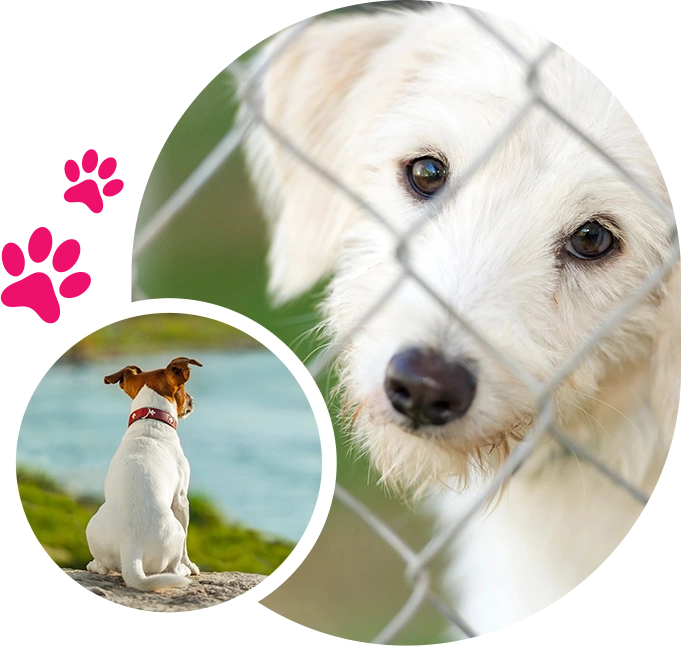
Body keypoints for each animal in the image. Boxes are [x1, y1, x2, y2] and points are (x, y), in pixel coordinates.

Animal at [85, 356, 202, 596]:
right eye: (184, 390)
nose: (192, 400)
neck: (150, 420)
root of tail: (131, 548)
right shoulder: (181, 500)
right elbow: (187, 545)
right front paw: (192, 566)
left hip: (92, 528)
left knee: (102, 567)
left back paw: (92, 565)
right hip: (175, 531)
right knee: (173, 566)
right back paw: (183, 570)